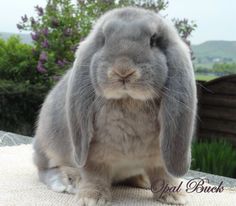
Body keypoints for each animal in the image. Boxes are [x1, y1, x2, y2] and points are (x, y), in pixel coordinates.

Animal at [32, 6, 196, 206]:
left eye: (153, 40)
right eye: (103, 39)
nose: (123, 71)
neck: (128, 101)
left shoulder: (159, 157)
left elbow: (164, 174)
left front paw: (175, 196)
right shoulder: (93, 156)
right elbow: (94, 176)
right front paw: (91, 198)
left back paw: (142, 180)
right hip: (47, 149)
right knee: (45, 170)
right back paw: (67, 181)